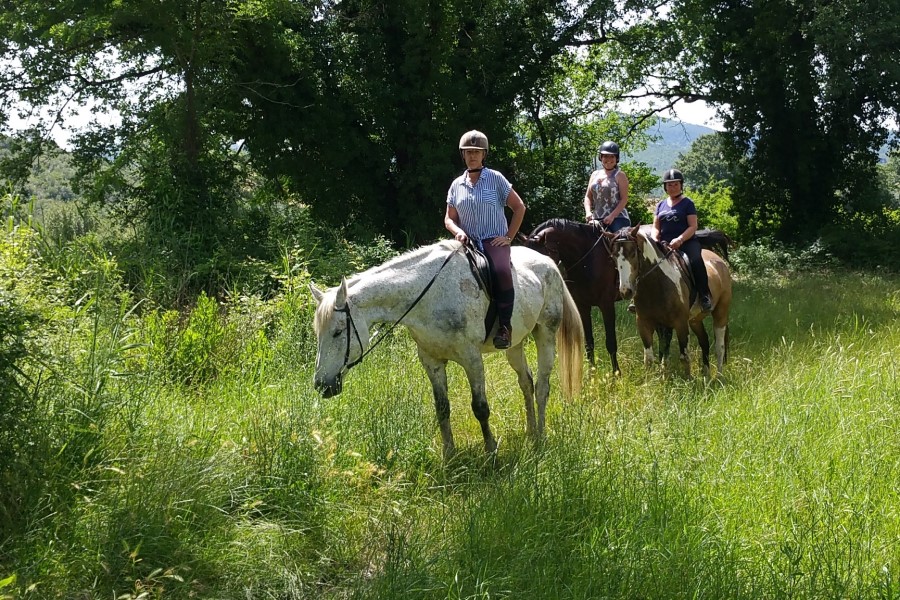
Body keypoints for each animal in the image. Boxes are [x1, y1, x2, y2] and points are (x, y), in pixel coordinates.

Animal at [312, 241, 588, 458]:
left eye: (338, 332)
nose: (322, 385)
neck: (428, 297)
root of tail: (549, 263)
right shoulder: (431, 361)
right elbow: (442, 408)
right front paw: (449, 456)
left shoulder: (472, 359)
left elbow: (480, 407)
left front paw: (491, 452)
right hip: (515, 344)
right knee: (526, 383)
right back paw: (530, 432)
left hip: (546, 333)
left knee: (542, 387)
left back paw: (540, 436)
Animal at [608, 227, 736, 378]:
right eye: (613, 256)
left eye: (633, 253)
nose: (626, 291)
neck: (656, 283)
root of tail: (719, 261)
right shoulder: (645, 323)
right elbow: (652, 358)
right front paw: (656, 380)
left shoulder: (680, 323)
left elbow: (684, 357)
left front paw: (688, 381)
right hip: (695, 319)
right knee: (704, 340)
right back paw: (706, 374)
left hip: (720, 312)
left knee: (719, 346)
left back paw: (719, 377)